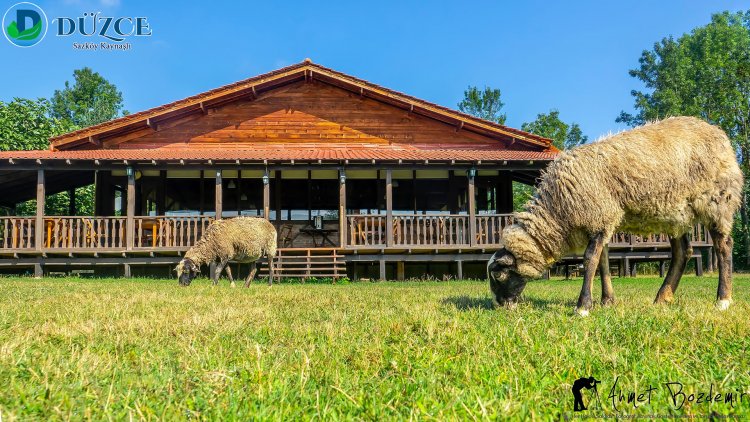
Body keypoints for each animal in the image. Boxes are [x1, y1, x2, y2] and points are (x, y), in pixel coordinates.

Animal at [490, 117, 744, 314]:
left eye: (499, 276)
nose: (499, 306)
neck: (558, 211)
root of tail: (719, 134)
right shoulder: (602, 219)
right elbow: (603, 261)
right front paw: (607, 301)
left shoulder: (598, 216)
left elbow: (590, 259)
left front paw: (583, 306)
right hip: (675, 213)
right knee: (683, 252)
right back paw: (662, 298)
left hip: (717, 200)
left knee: (723, 246)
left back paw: (723, 300)